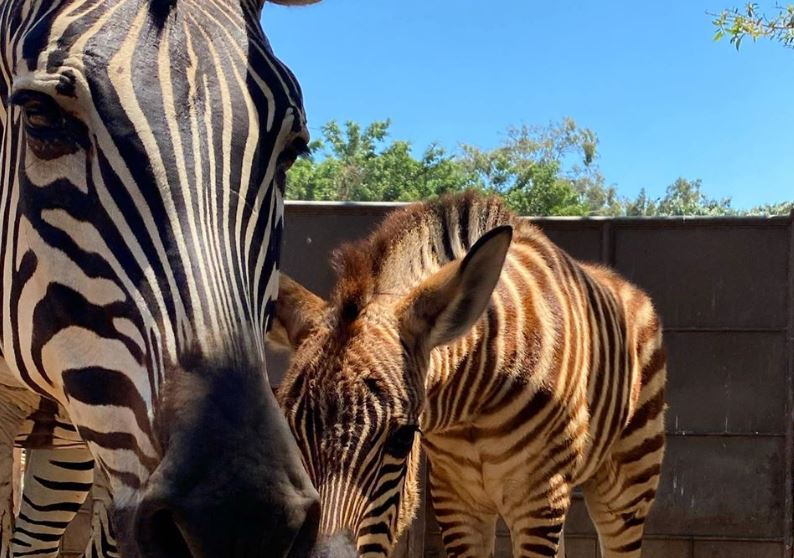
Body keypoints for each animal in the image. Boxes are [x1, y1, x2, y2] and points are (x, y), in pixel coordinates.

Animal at [270, 192, 667, 558]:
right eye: (288, 431)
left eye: (402, 439)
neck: (472, 406)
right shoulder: (455, 497)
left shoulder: (540, 496)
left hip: (629, 480)